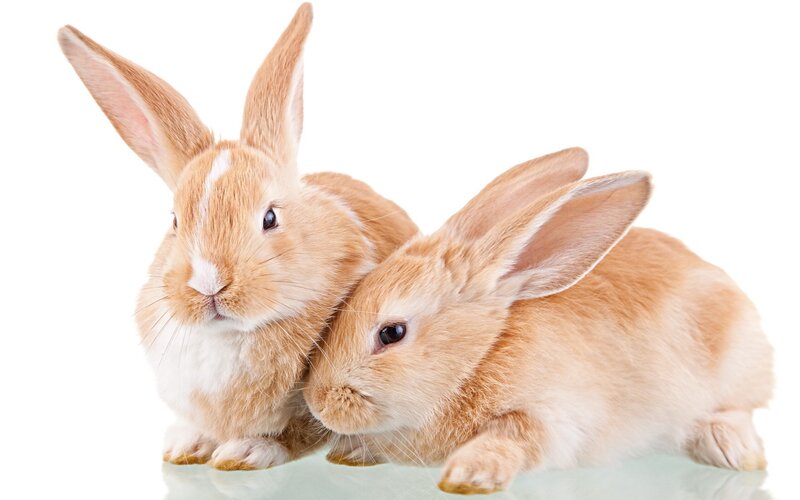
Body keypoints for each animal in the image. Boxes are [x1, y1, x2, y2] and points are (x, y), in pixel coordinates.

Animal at [58, 3, 418, 470]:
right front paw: (185, 446)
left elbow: (297, 431)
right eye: (175, 221)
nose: (209, 283)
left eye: (270, 217)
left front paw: (244, 452)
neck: (229, 336)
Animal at [304, 149, 774, 494]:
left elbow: (512, 437)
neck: (479, 356)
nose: (318, 403)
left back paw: (731, 449)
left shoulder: (552, 417)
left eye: (392, 333)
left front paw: (468, 476)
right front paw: (351, 453)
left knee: (738, 409)